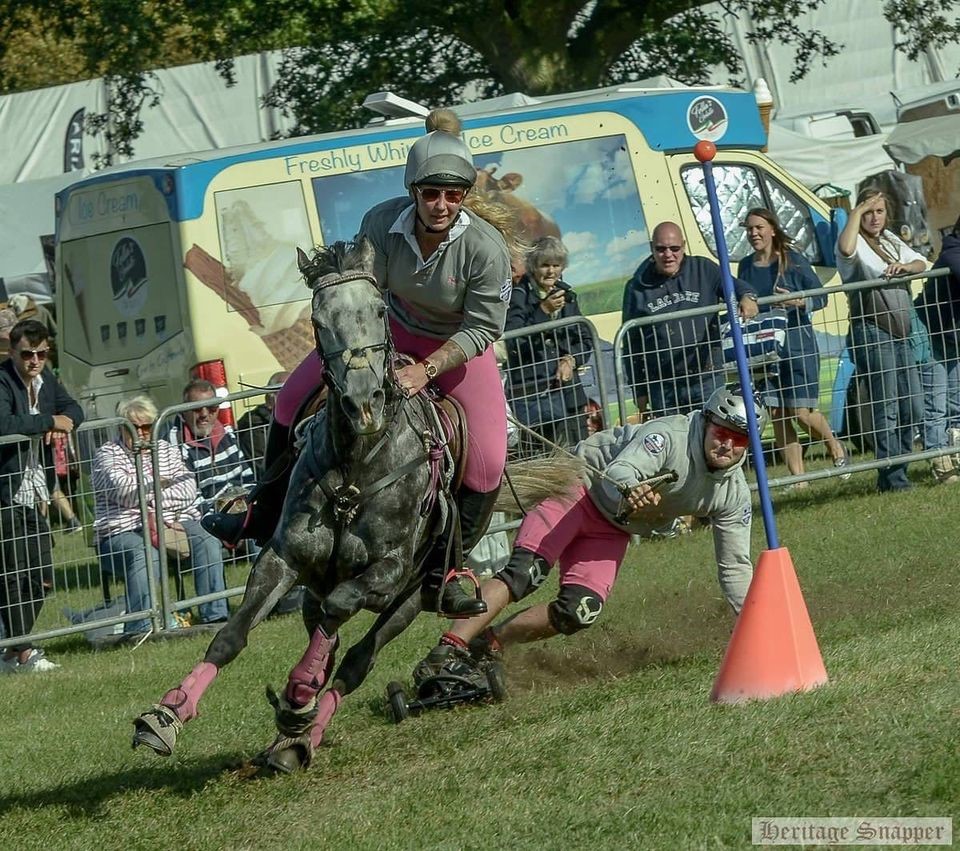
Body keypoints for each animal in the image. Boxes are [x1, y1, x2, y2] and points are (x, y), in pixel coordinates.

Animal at [130, 238, 572, 772]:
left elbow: (341, 614)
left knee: (357, 658)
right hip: (316, 586)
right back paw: (288, 734)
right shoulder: (282, 559)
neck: (358, 466)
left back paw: (302, 730)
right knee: (327, 632)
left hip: (413, 598)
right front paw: (166, 716)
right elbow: (231, 636)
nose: (364, 403)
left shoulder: (386, 576)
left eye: (380, 309)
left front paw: (299, 694)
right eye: (318, 319)